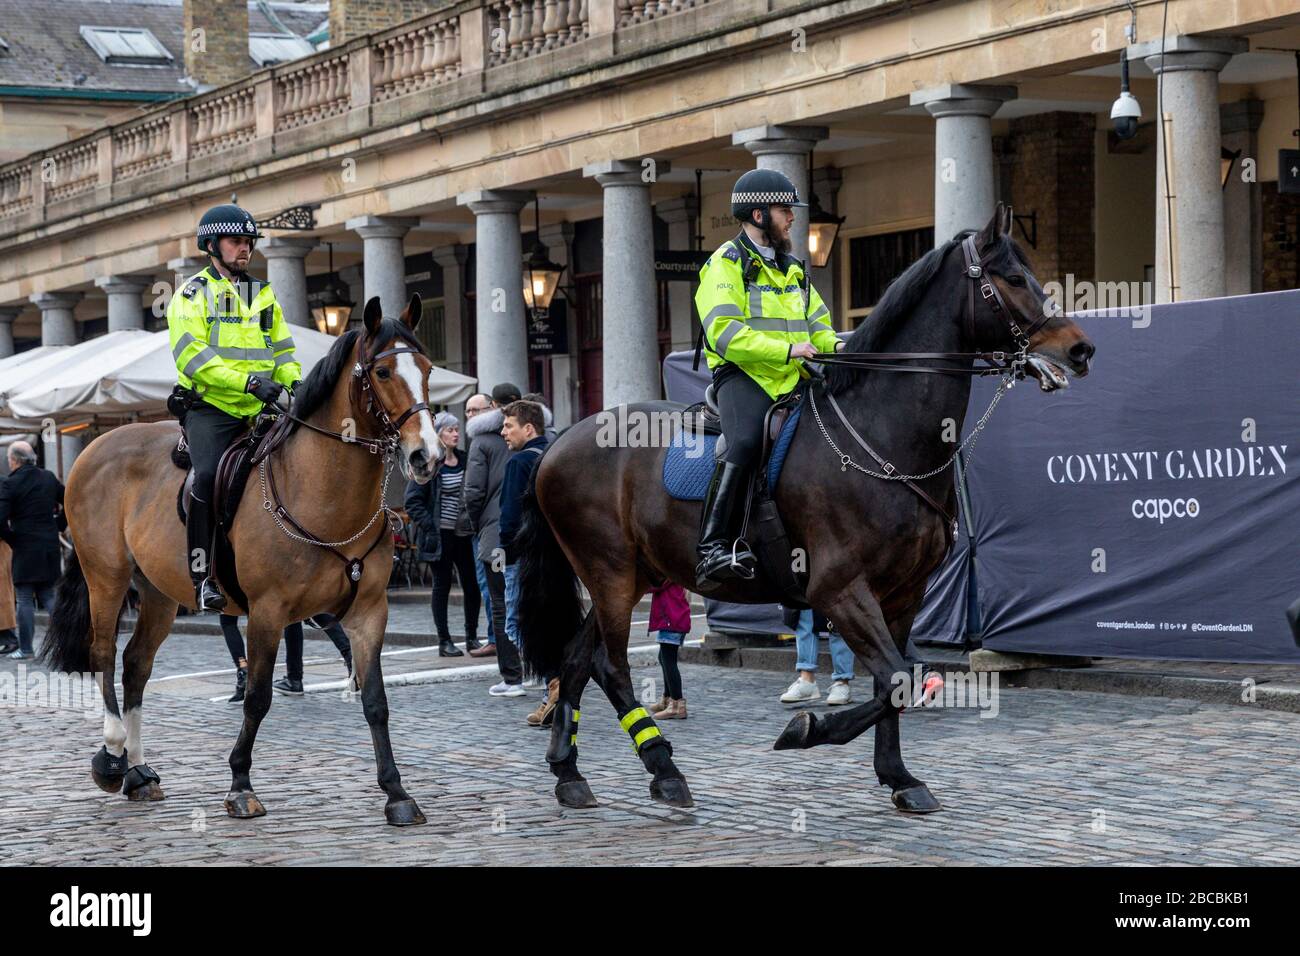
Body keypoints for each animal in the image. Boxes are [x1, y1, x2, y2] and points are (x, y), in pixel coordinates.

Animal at [40, 295, 441, 827]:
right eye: (382, 371)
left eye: (428, 368)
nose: (426, 455)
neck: (322, 492)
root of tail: (94, 447)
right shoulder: (268, 614)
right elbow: (257, 698)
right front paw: (240, 785)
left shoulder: (369, 612)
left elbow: (375, 701)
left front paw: (396, 792)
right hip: (106, 576)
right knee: (103, 655)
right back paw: (112, 756)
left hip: (159, 593)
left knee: (135, 665)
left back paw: (138, 773)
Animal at [517, 208, 1097, 816]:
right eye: (1010, 279)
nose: (1080, 350)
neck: (880, 434)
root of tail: (556, 444)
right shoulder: (838, 589)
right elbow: (898, 680)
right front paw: (808, 729)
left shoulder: (903, 593)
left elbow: (896, 680)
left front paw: (899, 777)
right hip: (609, 573)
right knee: (611, 665)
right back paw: (663, 769)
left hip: (634, 576)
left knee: (578, 659)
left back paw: (570, 772)